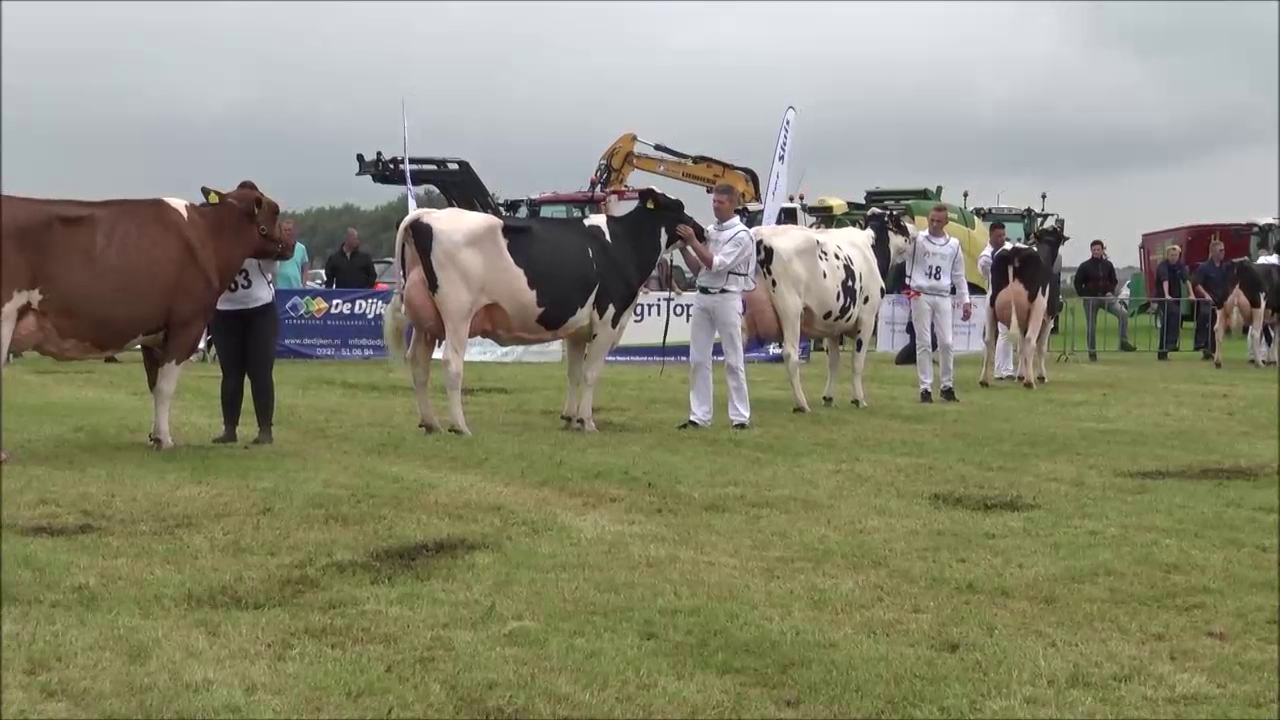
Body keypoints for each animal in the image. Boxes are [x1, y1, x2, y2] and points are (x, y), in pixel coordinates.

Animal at [0, 179, 293, 458]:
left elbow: (154, 385)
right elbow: (165, 388)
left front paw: (154, 437)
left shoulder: (153, 335)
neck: (209, 235)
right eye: (275, 210)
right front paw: (165, 441)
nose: (290, 242)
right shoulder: (187, 324)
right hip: (5, 316)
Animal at [384, 184, 706, 430]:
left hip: (426, 321)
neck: (624, 242)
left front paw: (570, 418)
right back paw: (460, 426)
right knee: (452, 363)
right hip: (457, 313)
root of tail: (427, 214)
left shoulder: (578, 328)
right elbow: (591, 372)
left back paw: (431, 423)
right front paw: (588, 422)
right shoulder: (608, 318)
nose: (701, 231)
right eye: (678, 206)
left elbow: (574, 372)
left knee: (418, 365)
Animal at [737, 206, 916, 409]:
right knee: (790, 354)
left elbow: (833, 361)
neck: (871, 249)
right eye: (901, 223)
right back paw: (801, 404)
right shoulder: (867, 317)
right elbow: (857, 361)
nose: (914, 228)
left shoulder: (833, 324)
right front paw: (859, 399)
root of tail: (757, 235)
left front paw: (828, 397)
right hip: (790, 309)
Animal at [977, 222, 1070, 386]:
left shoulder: (1022, 317)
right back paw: (1030, 382)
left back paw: (984, 380)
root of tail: (1014, 251)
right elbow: (1040, 347)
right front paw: (1040, 376)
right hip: (1038, 306)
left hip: (990, 303)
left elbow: (1021, 346)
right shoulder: (1050, 316)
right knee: (1031, 340)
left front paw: (1020, 375)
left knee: (988, 340)